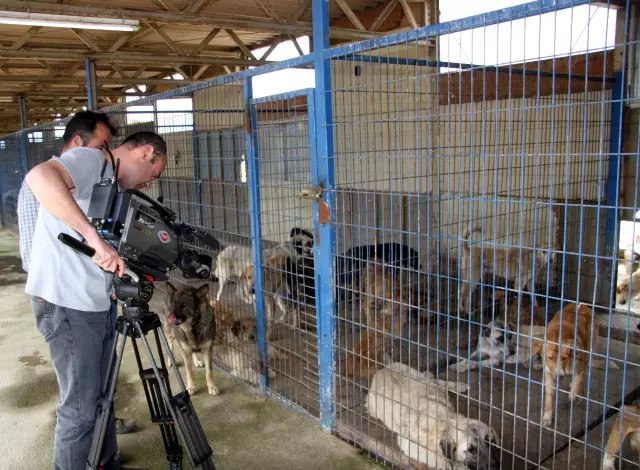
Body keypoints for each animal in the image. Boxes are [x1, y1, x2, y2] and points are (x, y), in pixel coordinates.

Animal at [364, 364, 500, 470]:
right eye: (471, 450)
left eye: (490, 441)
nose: (495, 467)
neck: (446, 423)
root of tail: (382, 370)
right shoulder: (409, 445)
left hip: (422, 379)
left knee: (435, 381)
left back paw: (458, 386)